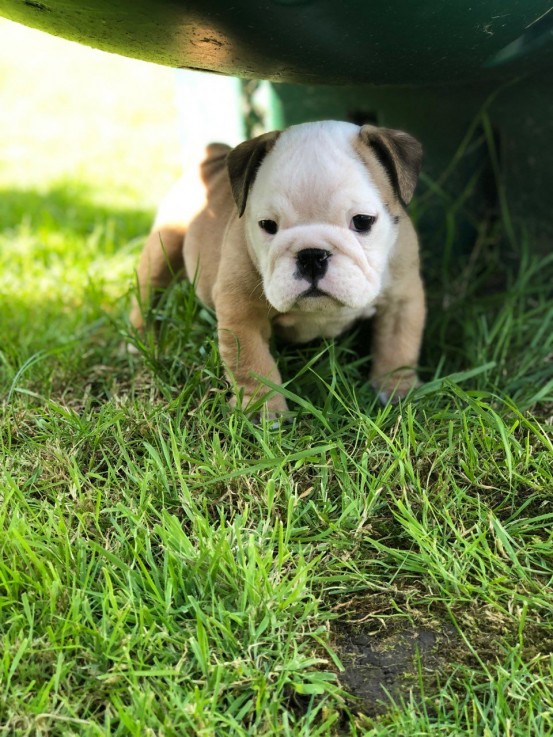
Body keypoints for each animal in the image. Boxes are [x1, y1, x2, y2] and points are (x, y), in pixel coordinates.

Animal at [130, 123, 426, 416]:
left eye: (363, 221)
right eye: (268, 225)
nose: (311, 256)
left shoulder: (402, 299)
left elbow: (397, 346)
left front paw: (398, 390)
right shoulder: (242, 314)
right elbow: (252, 363)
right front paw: (262, 409)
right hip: (164, 245)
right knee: (147, 292)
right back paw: (141, 340)